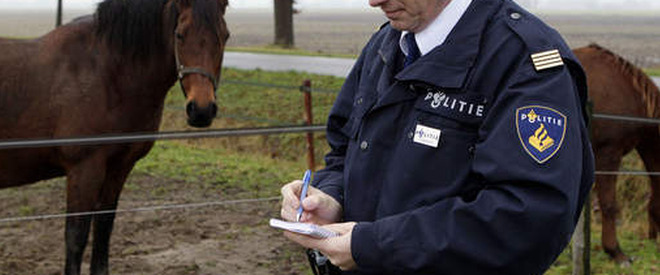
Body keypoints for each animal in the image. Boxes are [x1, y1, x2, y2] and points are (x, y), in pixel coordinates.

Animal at [0, 0, 229, 275]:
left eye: (225, 36)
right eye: (180, 35)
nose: (202, 110)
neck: (107, 73)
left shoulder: (119, 167)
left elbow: (104, 228)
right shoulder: (84, 169)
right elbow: (76, 237)